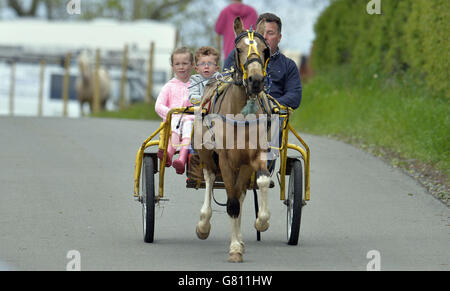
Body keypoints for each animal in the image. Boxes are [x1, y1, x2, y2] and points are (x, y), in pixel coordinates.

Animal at [192, 17, 270, 264]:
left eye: (265, 50)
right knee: (209, 178)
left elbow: (260, 183)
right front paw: (234, 249)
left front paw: (261, 221)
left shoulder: (253, 158)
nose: (256, 80)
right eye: (239, 49)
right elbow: (232, 203)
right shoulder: (225, 160)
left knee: (241, 193)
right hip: (207, 154)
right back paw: (203, 223)